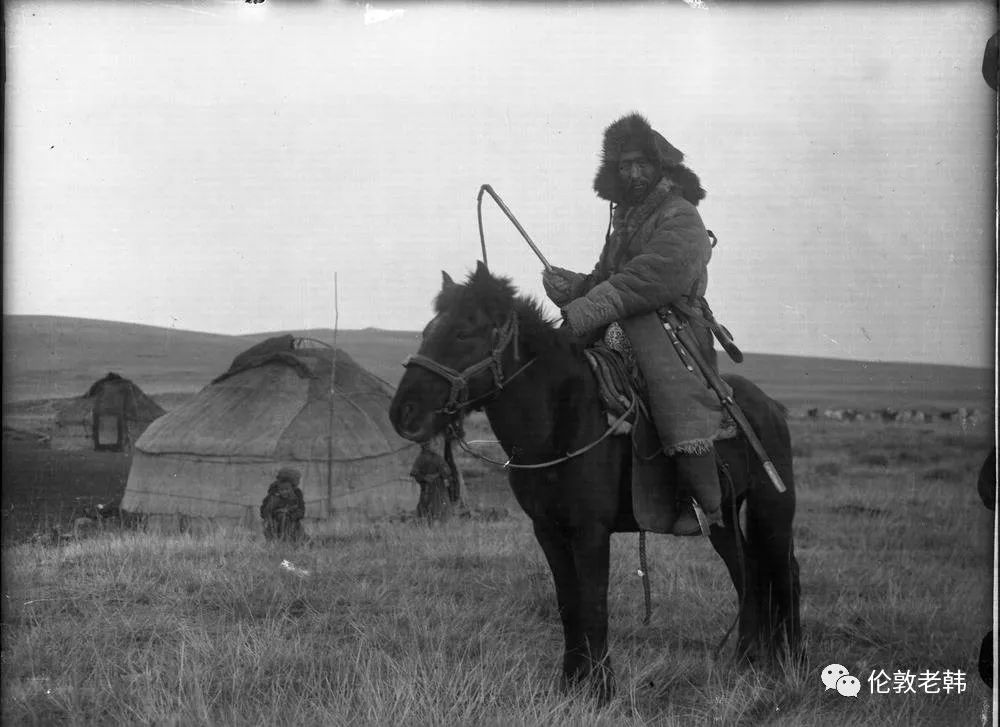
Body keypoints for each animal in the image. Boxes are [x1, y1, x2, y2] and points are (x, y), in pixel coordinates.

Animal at [386, 262, 800, 700]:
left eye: (463, 333)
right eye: (428, 330)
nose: (403, 412)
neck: (560, 421)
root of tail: (769, 405)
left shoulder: (590, 531)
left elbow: (594, 603)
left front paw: (602, 689)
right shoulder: (549, 530)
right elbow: (569, 603)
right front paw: (570, 682)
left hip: (773, 510)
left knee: (785, 571)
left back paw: (793, 661)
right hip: (720, 515)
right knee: (748, 572)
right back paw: (747, 658)